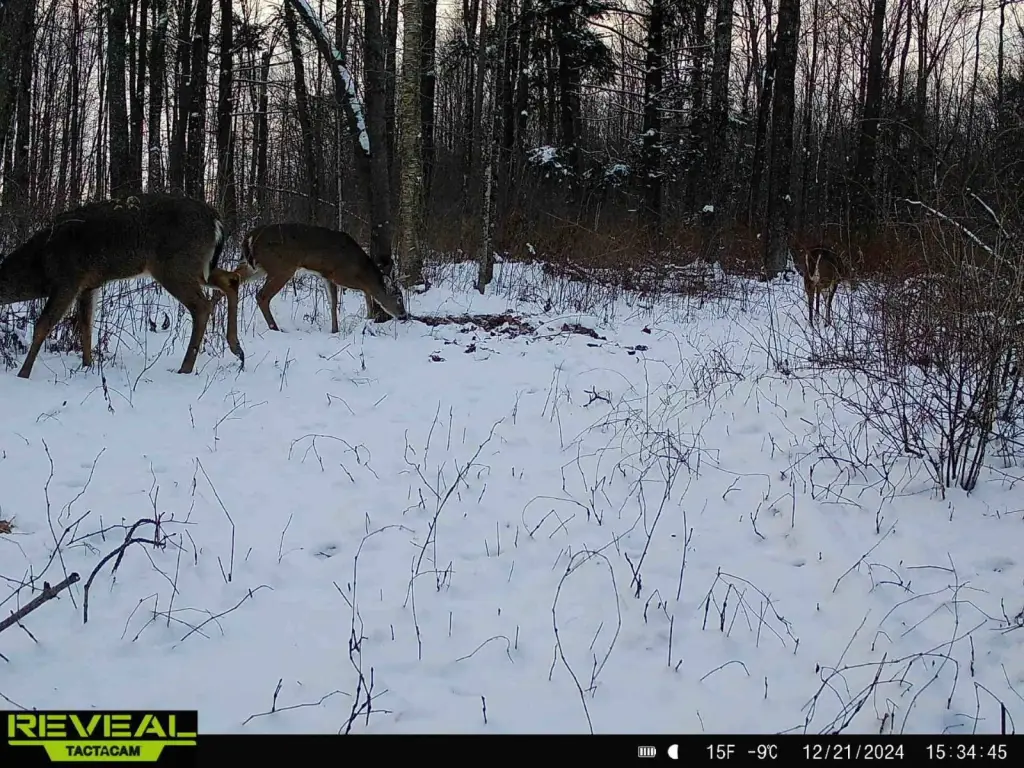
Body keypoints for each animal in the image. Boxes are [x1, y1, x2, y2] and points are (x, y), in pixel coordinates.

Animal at [0, 193, 245, 379]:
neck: (40, 264)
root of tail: (216, 220)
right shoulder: (88, 285)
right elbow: (85, 326)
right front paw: (87, 365)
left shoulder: (67, 279)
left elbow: (43, 325)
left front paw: (23, 374)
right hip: (198, 266)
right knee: (231, 280)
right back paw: (236, 348)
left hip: (175, 265)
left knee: (202, 306)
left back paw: (186, 367)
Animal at [231, 222, 408, 334]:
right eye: (399, 298)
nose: (404, 316)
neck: (359, 265)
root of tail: (250, 237)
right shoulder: (340, 274)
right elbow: (366, 290)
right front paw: (369, 316)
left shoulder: (326, 275)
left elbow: (333, 303)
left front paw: (335, 330)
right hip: (281, 267)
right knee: (261, 295)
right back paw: (275, 328)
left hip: (255, 267)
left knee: (231, 280)